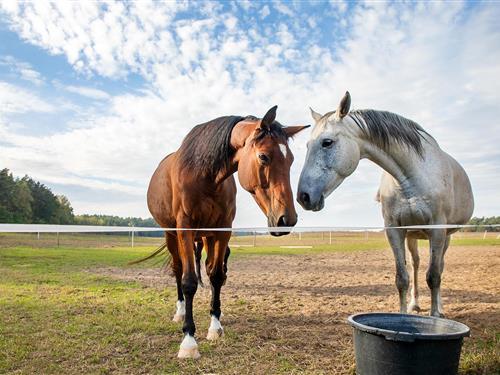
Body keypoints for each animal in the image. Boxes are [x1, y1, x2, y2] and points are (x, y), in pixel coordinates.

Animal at [146, 107, 306, 360]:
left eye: (290, 160)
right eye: (263, 157)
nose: (286, 219)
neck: (204, 174)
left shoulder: (222, 231)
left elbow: (216, 276)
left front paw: (215, 327)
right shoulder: (185, 228)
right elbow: (189, 281)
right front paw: (189, 341)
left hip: (206, 236)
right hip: (171, 234)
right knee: (178, 270)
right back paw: (180, 313)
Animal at [296, 92, 472, 318]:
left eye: (327, 142)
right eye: (307, 146)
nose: (303, 196)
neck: (410, 175)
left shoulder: (437, 229)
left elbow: (433, 276)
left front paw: (435, 318)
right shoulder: (394, 230)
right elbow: (402, 278)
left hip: (445, 236)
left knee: (439, 266)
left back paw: (439, 308)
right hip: (413, 235)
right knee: (415, 264)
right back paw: (415, 304)